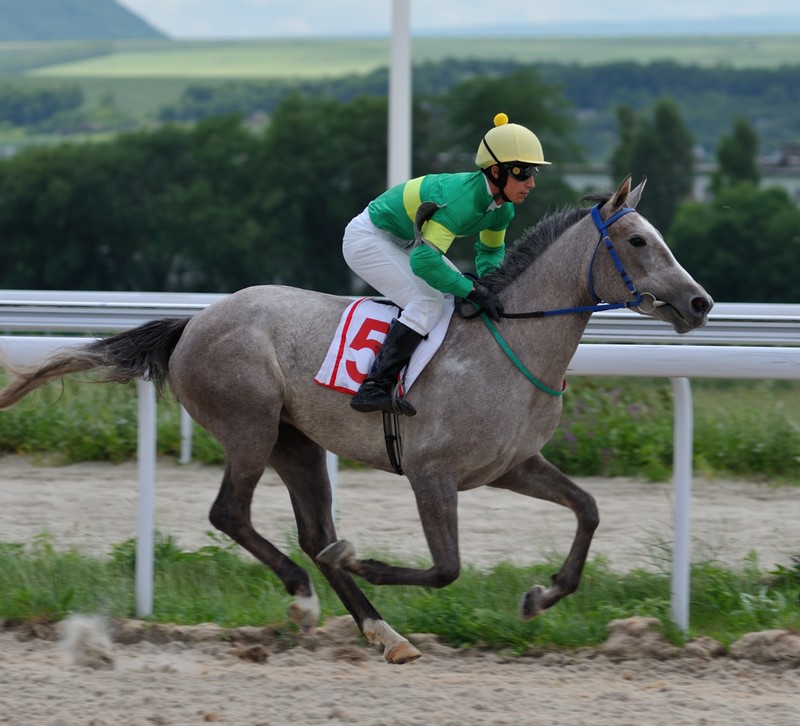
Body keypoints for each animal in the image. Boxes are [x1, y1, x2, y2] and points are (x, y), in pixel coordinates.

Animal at [0, 178, 712, 664]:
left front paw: (542, 595)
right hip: (251, 426)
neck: (510, 344)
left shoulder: (511, 466)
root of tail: (194, 322)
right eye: (638, 240)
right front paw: (366, 561)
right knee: (232, 514)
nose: (700, 302)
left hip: (297, 444)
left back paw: (383, 632)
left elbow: (588, 509)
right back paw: (302, 594)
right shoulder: (431, 473)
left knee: (313, 532)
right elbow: (446, 567)